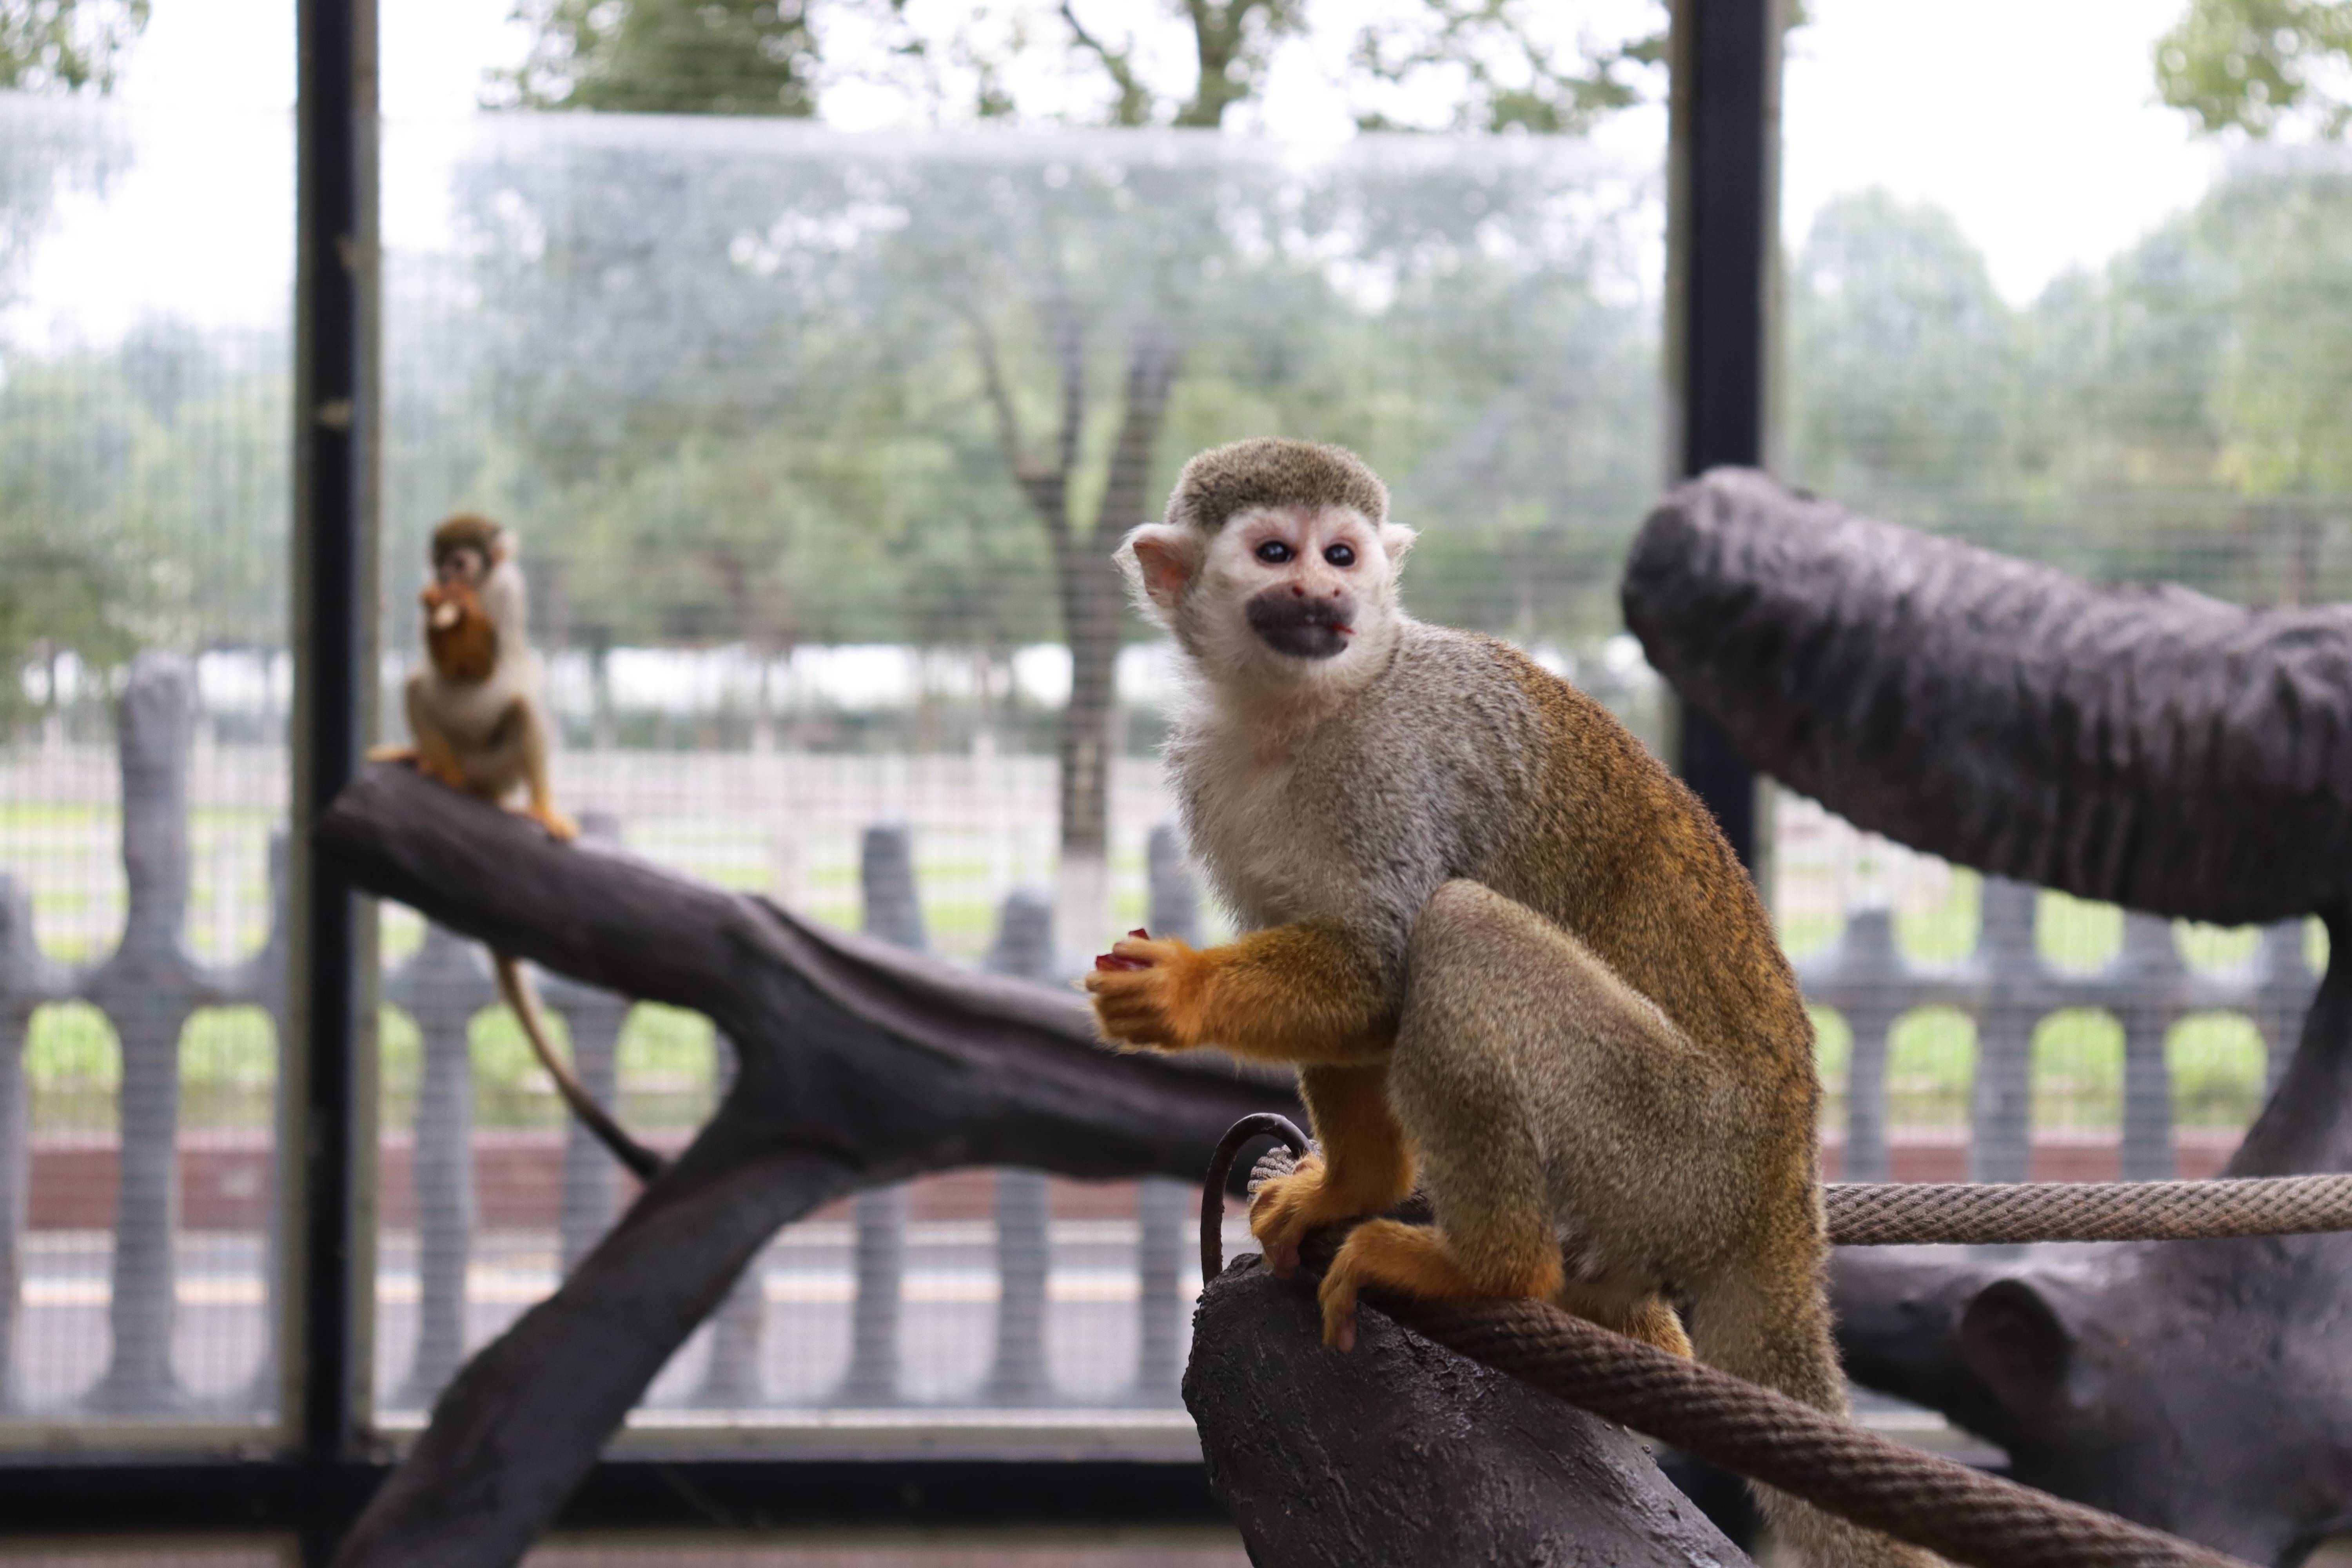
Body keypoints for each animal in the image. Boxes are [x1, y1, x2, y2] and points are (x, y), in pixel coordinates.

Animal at [372, 522, 663, 1185]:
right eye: (439, 562)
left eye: (460, 562)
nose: (446, 578)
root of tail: (483, 789)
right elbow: (442, 663)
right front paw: (437, 607)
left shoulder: (509, 589)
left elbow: (484, 662)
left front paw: (463, 610)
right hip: (465, 761)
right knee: (418, 684)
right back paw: (432, 766)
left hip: (497, 772)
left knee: (523, 706)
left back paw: (538, 804)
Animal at [1091, 439, 1938, 1568]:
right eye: (1277, 554)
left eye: (1342, 555)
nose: (1323, 595)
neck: (1303, 708)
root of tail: (1777, 1182)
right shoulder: (1212, 779)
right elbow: (1352, 999)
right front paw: (1350, 1184)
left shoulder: (1392, 770)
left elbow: (1381, 970)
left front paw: (1183, 991)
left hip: (1671, 1135)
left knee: (1458, 933)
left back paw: (1492, 1267)